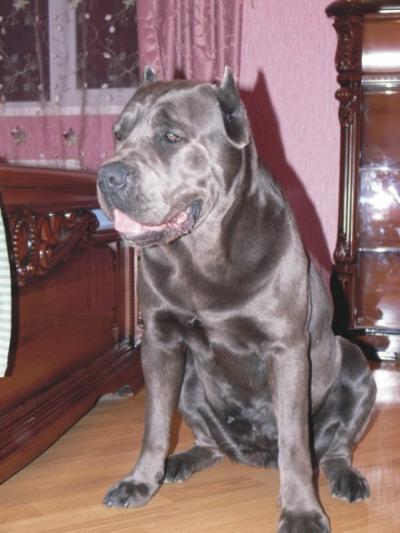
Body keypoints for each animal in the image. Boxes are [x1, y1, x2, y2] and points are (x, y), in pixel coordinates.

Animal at [97, 67, 376, 533]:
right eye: (119, 134)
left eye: (171, 136)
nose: (107, 175)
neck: (202, 253)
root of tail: (255, 455)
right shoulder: (160, 342)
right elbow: (155, 421)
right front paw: (140, 481)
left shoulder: (287, 349)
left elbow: (296, 443)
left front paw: (301, 510)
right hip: (191, 379)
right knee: (210, 441)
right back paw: (178, 463)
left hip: (354, 361)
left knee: (334, 446)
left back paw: (345, 478)